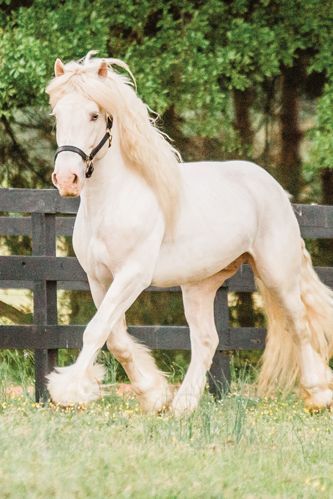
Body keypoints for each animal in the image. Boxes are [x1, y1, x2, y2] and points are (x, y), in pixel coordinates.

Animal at [46, 52, 332, 416]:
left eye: (94, 114)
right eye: (57, 114)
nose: (66, 179)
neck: (114, 200)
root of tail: (274, 188)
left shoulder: (132, 276)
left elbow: (97, 331)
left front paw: (69, 391)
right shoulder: (99, 279)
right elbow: (116, 338)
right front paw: (153, 395)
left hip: (277, 274)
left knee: (299, 324)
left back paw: (318, 394)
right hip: (200, 285)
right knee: (207, 340)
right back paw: (183, 404)